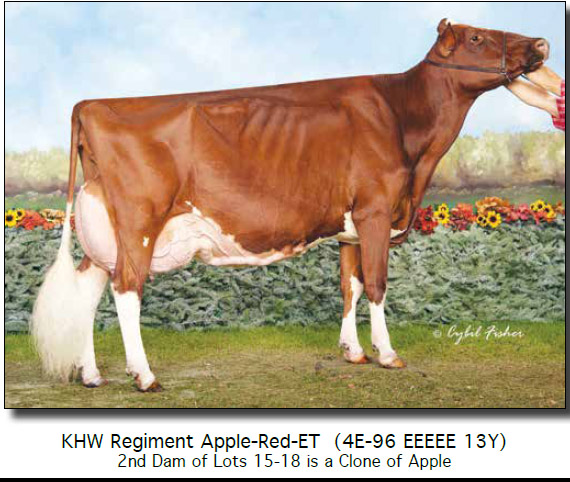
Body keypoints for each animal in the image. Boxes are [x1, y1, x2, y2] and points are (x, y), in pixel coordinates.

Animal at [32, 19, 549, 392]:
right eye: (478, 37)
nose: (541, 43)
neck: (406, 125)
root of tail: (91, 104)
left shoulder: (349, 226)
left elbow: (350, 286)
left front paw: (352, 351)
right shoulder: (376, 211)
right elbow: (377, 284)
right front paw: (387, 354)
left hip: (106, 232)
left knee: (90, 291)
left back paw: (91, 374)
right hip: (139, 221)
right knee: (126, 290)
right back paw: (144, 376)